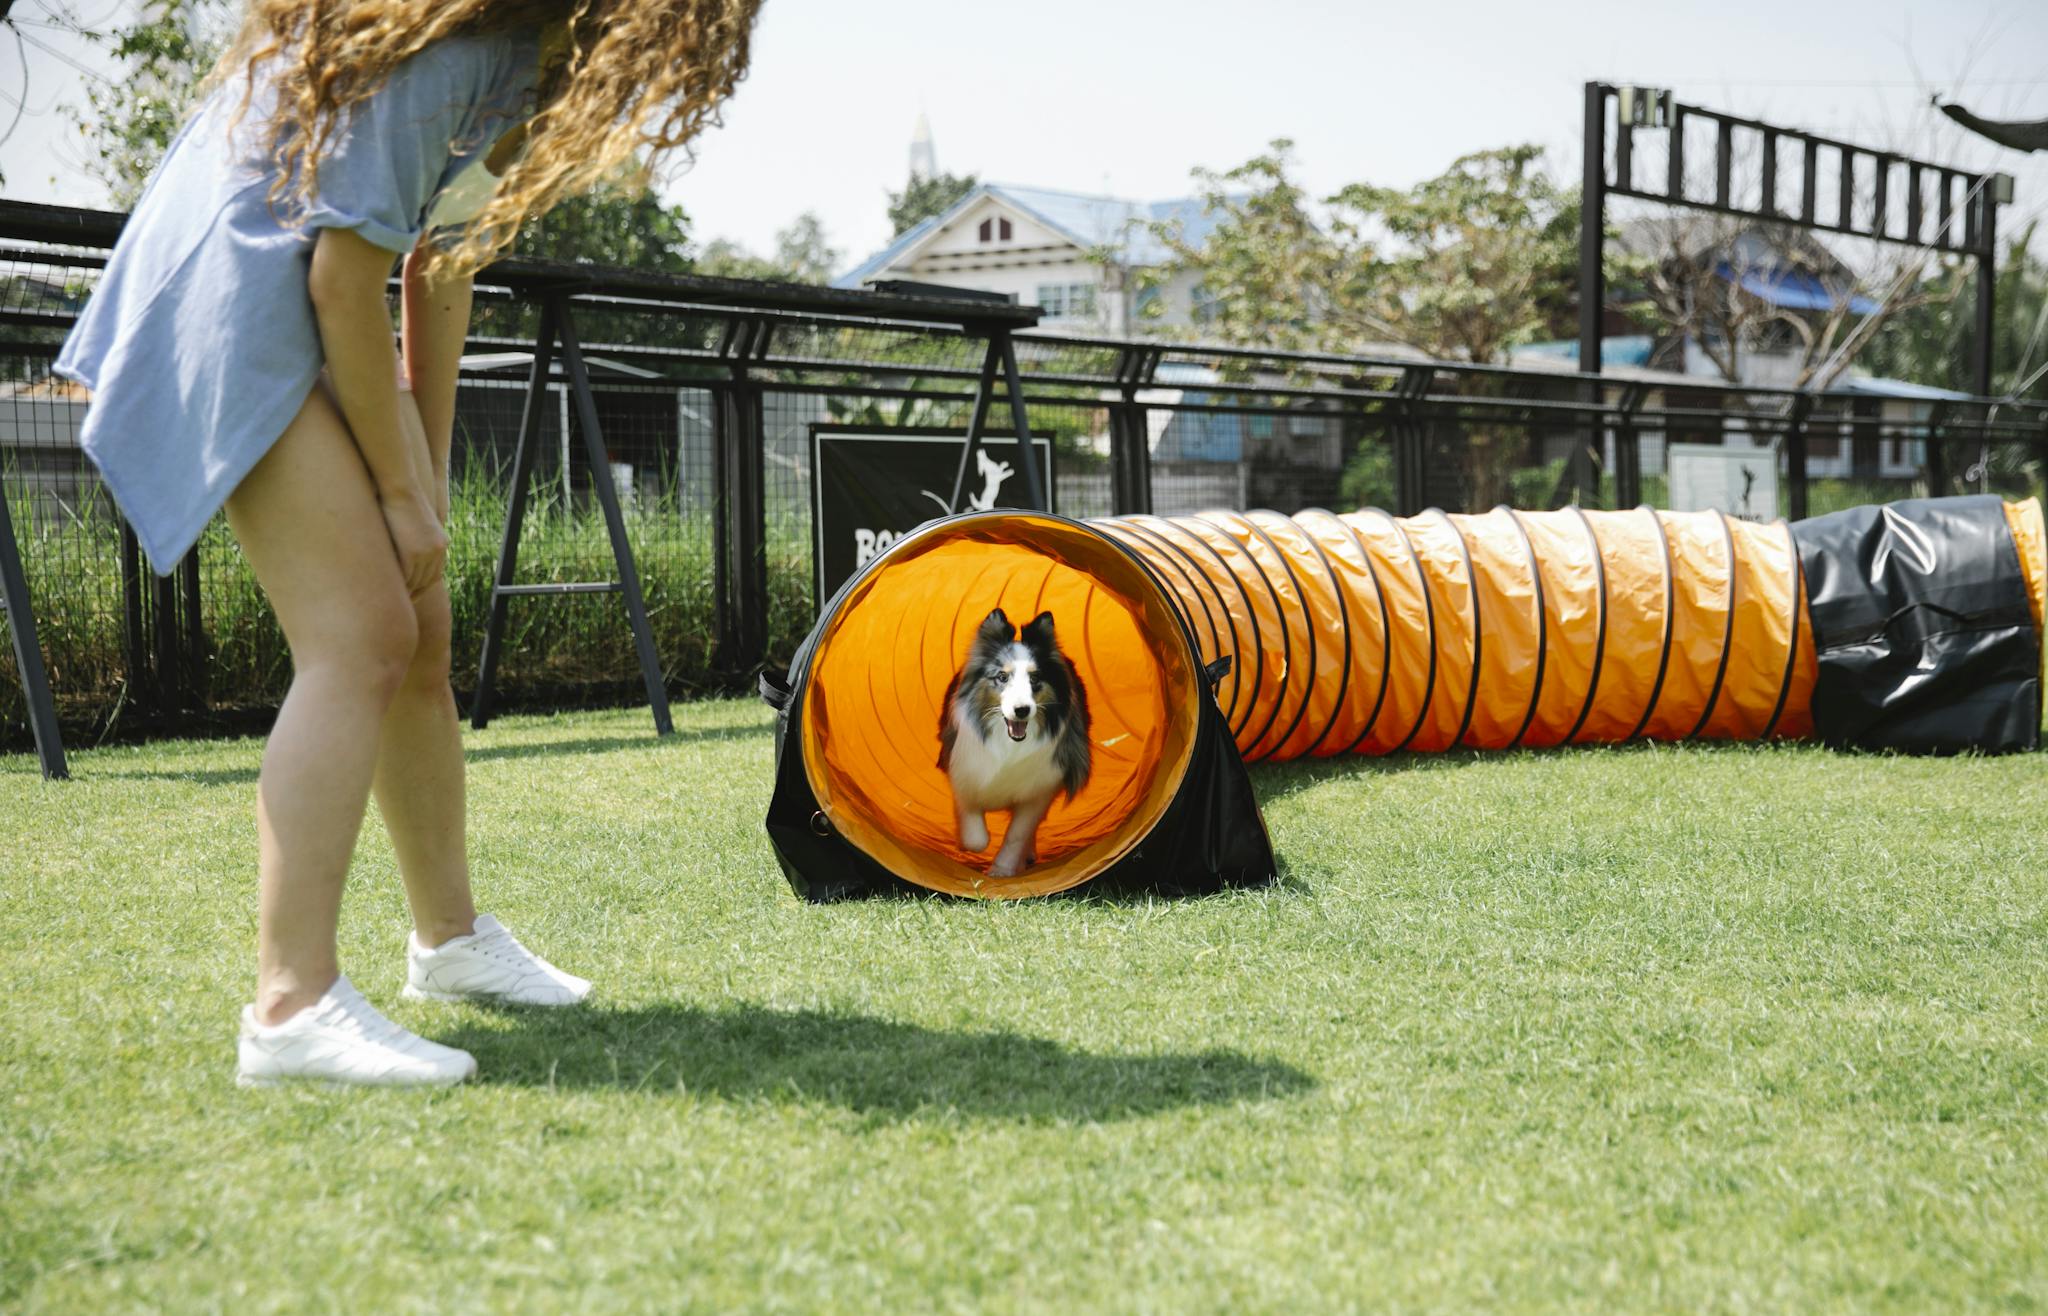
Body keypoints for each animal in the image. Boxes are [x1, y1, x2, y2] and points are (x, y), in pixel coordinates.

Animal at [937, 609, 1097, 880]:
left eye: (1035, 678)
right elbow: (976, 837)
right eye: (1002, 676)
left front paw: (1002, 870)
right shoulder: (964, 771)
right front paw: (963, 844)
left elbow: (1017, 834)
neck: (1007, 743)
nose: (1022, 710)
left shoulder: (1039, 790)